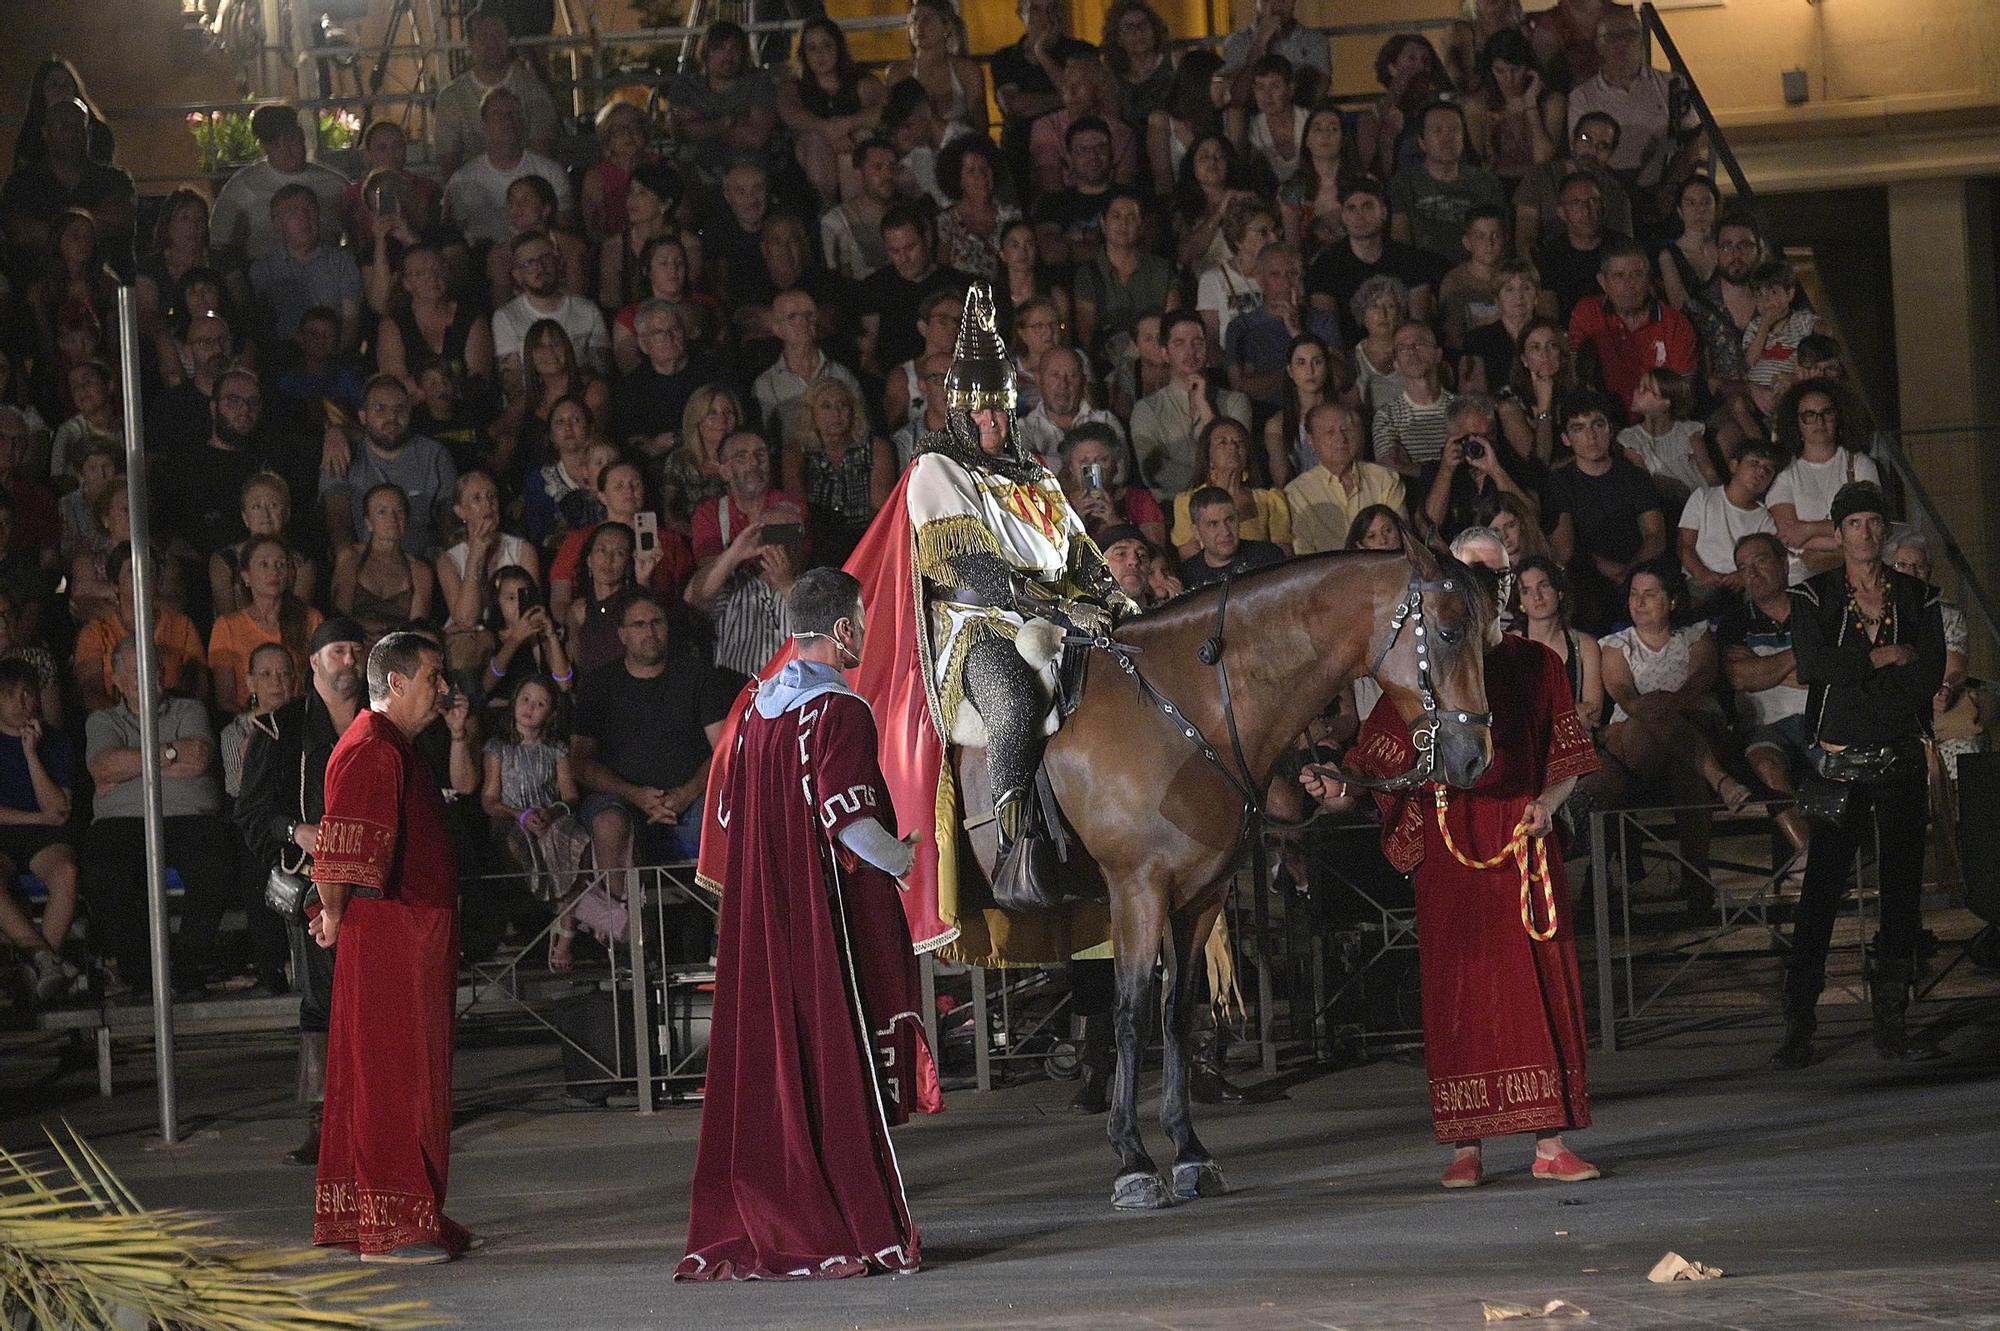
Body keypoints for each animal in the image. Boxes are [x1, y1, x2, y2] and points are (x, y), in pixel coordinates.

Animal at [960, 543, 1496, 1207]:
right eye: (1447, 633)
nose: (1475, 758)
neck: (1182, 712)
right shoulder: (1136, 891)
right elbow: (1131, 1014)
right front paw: (1133, 1159)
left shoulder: (1200, 896)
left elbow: (1177, 1013)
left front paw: (1189, 1152)